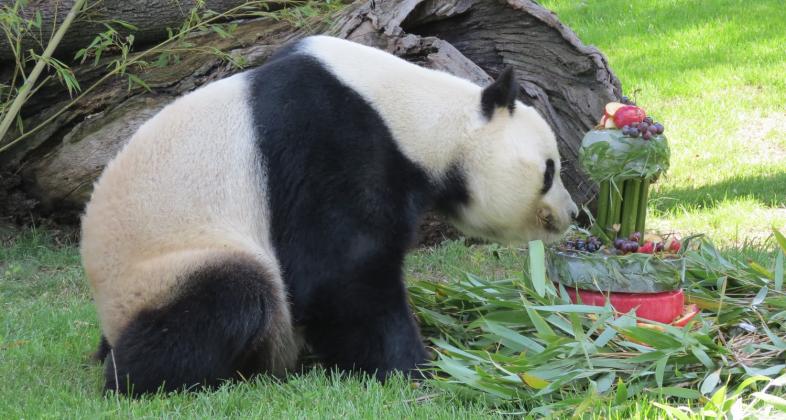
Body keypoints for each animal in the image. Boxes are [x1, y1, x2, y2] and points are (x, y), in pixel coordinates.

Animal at [81, 34, 576, 396]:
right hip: (168, 268)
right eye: (549, 170)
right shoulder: (330, 141)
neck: (417, 115)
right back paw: (144, 377)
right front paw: (416, 368)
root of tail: (109, 313)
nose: (572, 213)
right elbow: (339, 273)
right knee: (233, 297)